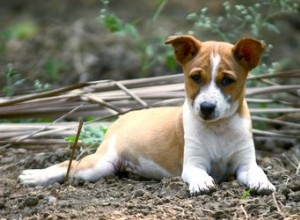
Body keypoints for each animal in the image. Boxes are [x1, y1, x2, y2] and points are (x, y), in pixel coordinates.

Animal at [19, 35, 276, 195]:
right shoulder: (193, 163)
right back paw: (34, 176)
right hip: (100, 164)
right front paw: (203, 182)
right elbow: (197, 173)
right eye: (195, 78)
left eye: (227, 81)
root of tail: (123, 118)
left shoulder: (245, 163)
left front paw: (263, 182)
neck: (218, 128)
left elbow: (256, 170)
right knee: (67, 165)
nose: (206, 108)